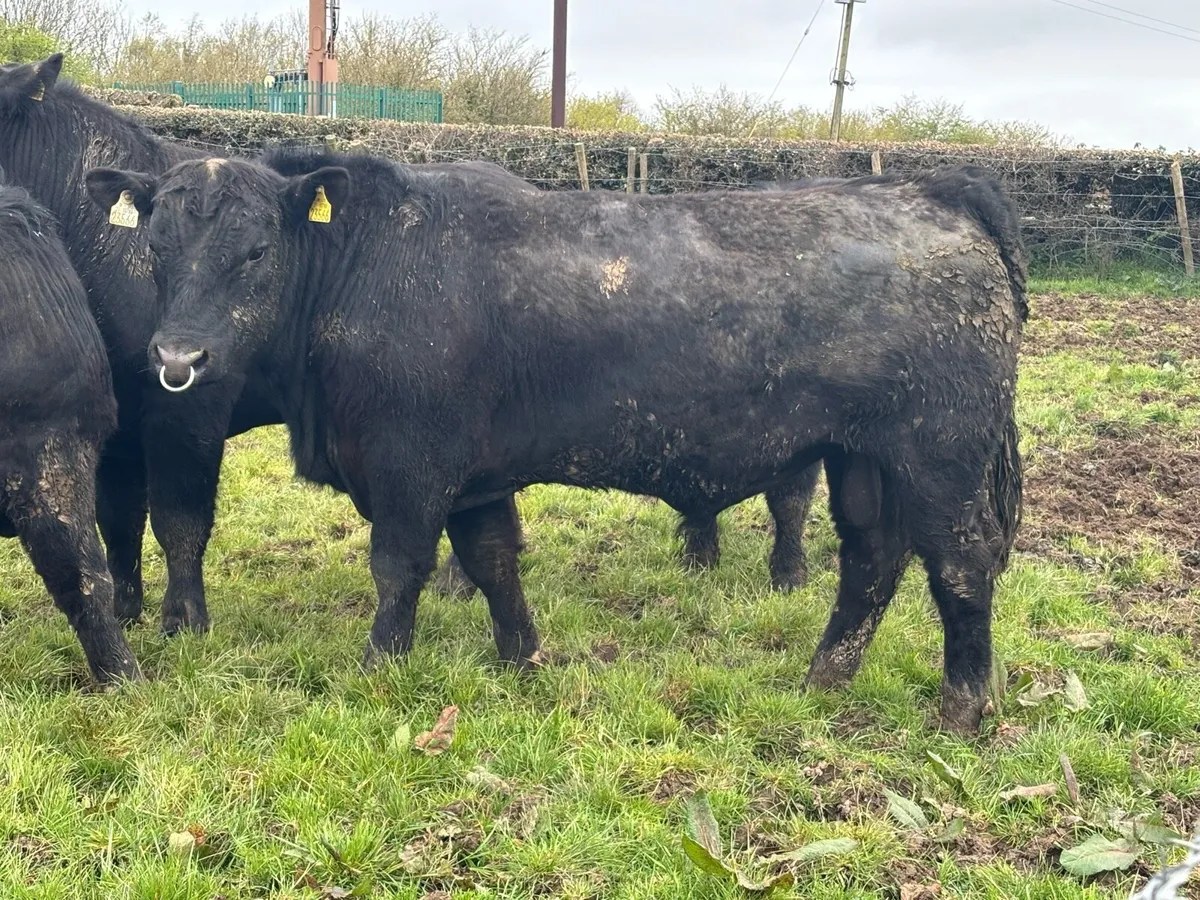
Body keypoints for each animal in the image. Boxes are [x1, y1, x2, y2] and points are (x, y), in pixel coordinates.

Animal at [85, 150, 1026, 733]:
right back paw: (824, 677)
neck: (364, 267)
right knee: (871, 559)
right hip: (861, 457)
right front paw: (522, 657)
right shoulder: (474, 479)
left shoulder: (408, 469)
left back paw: (962, 706)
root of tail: (932, 190)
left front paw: (380, 666)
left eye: (253, 251)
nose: (177, 358)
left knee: (960, 562)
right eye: (157, 248)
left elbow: (399, 569)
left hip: (938, 453)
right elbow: (493, 561)